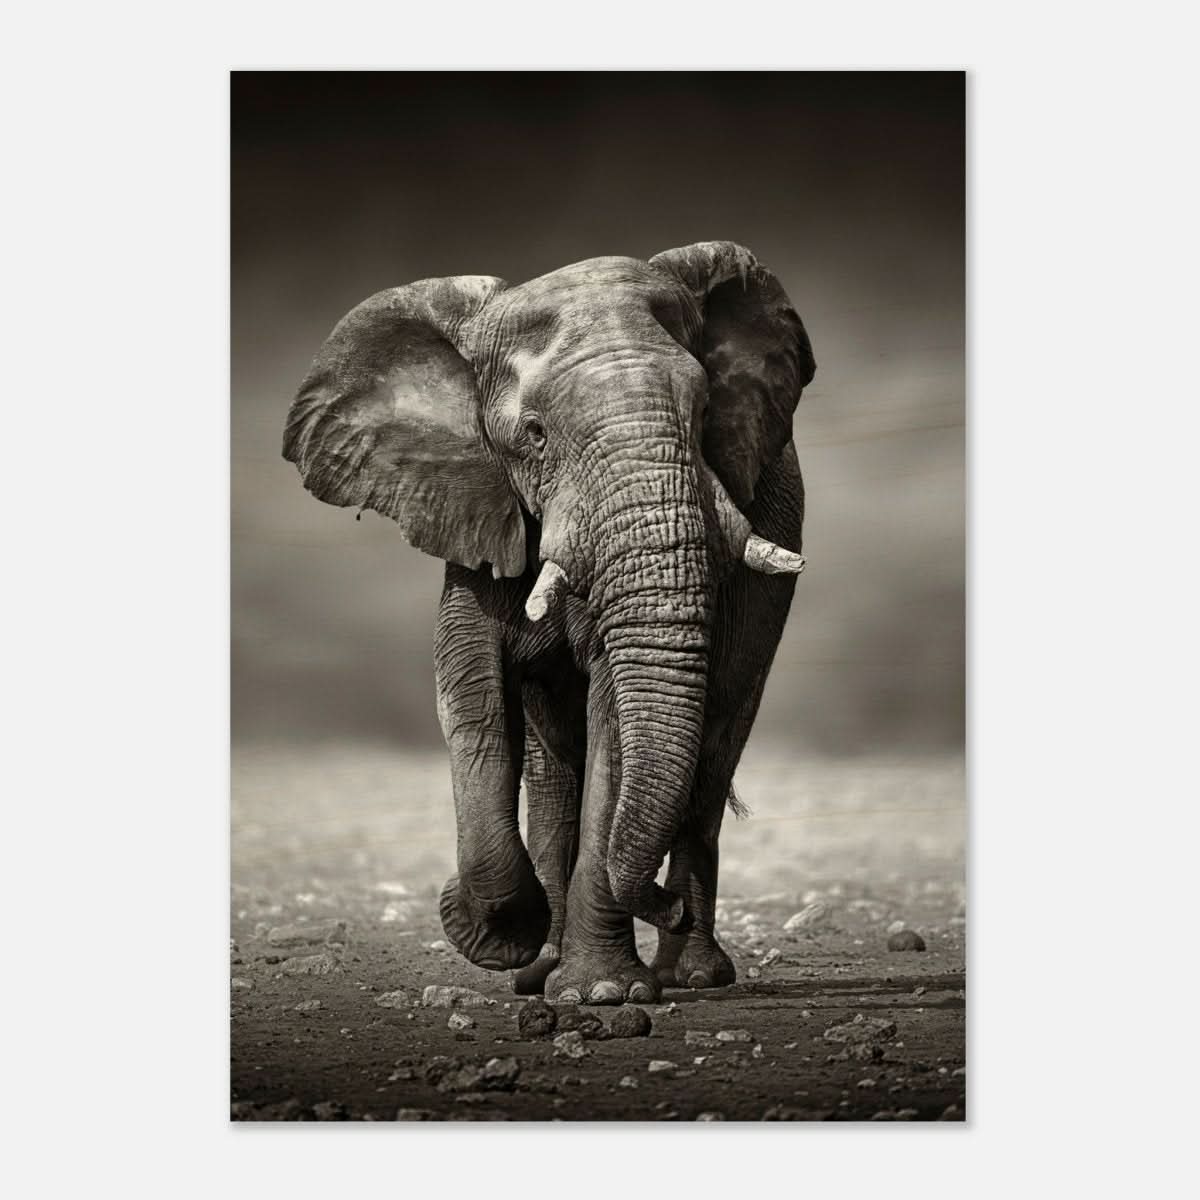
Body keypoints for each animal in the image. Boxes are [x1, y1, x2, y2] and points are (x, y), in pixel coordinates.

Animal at [282, 241, 815, 1005]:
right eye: (533, 436)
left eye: (706, 409)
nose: (662, 904)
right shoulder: (476, 508)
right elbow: (470, 695)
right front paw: (499, 936)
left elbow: (614, 716)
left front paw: (603, 994)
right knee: (553, 770)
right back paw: (542, 970)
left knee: (712, 749)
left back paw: (690, 974)